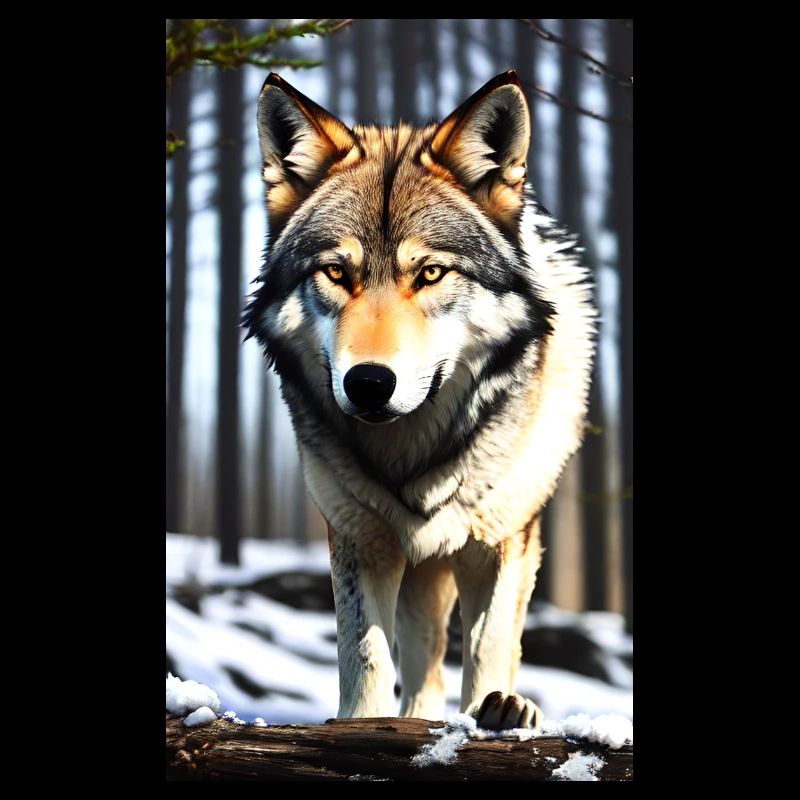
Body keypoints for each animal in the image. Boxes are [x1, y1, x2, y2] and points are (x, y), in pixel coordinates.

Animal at [244, 70, 596, 730]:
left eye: (430, 273)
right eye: (336, 273)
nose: (368, 382)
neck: (412, 453)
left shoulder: (500, 539)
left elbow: (488, 645)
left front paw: (494, 712)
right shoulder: (360, 538)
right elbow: (364, 658)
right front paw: (363, 726)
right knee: (424, 672)